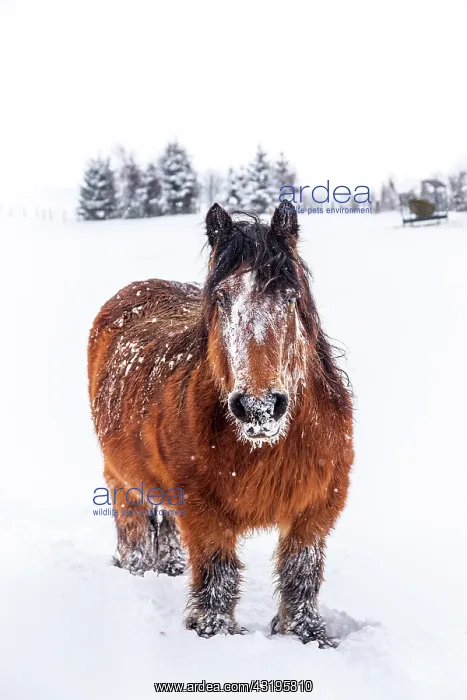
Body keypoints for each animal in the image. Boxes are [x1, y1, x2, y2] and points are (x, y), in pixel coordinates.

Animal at [88, 202, 354, 646]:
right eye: (221, 298)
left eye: (290, 296)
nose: (259, 407)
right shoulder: (203, 511)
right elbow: (218, 573)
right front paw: (213, 631)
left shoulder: (316, 508)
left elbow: (301, 573)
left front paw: (306, 634)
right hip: (123, 478)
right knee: (134, 527)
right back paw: (138, 569)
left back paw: (171, 565)